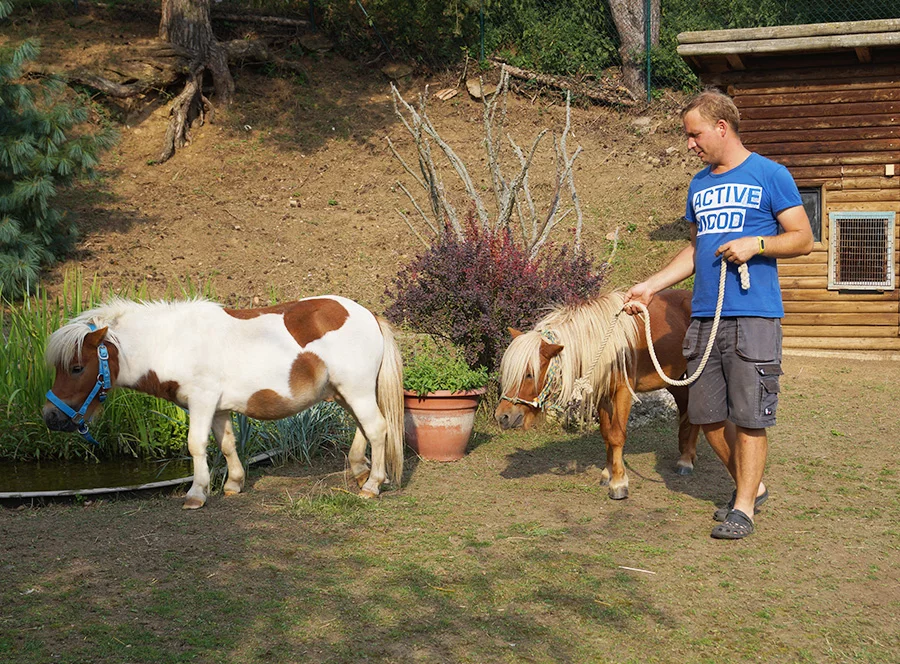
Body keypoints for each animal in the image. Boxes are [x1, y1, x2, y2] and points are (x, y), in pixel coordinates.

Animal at [44, 294, 404, 506]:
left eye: (77, 368)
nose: (51, 417)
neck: (173, 342)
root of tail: (369, 315)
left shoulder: (201, 402)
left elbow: (195, 444)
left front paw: (196, 493)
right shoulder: (218, 409)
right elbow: (227, 445)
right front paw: (233, 483)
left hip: (355, 390)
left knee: (376, 428)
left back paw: (372, 485)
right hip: (345, 392)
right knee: (364, 427)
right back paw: (361, 470)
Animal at [496, 288, 700, 500]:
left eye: (529, 374)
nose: (502, 416)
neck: (608, 345)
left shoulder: (623, 392)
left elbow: (617, 435)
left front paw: (618, 483)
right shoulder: (603, 394)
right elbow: (606, 433)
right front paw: (607, 473)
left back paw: (686, 459)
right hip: (674, 379)